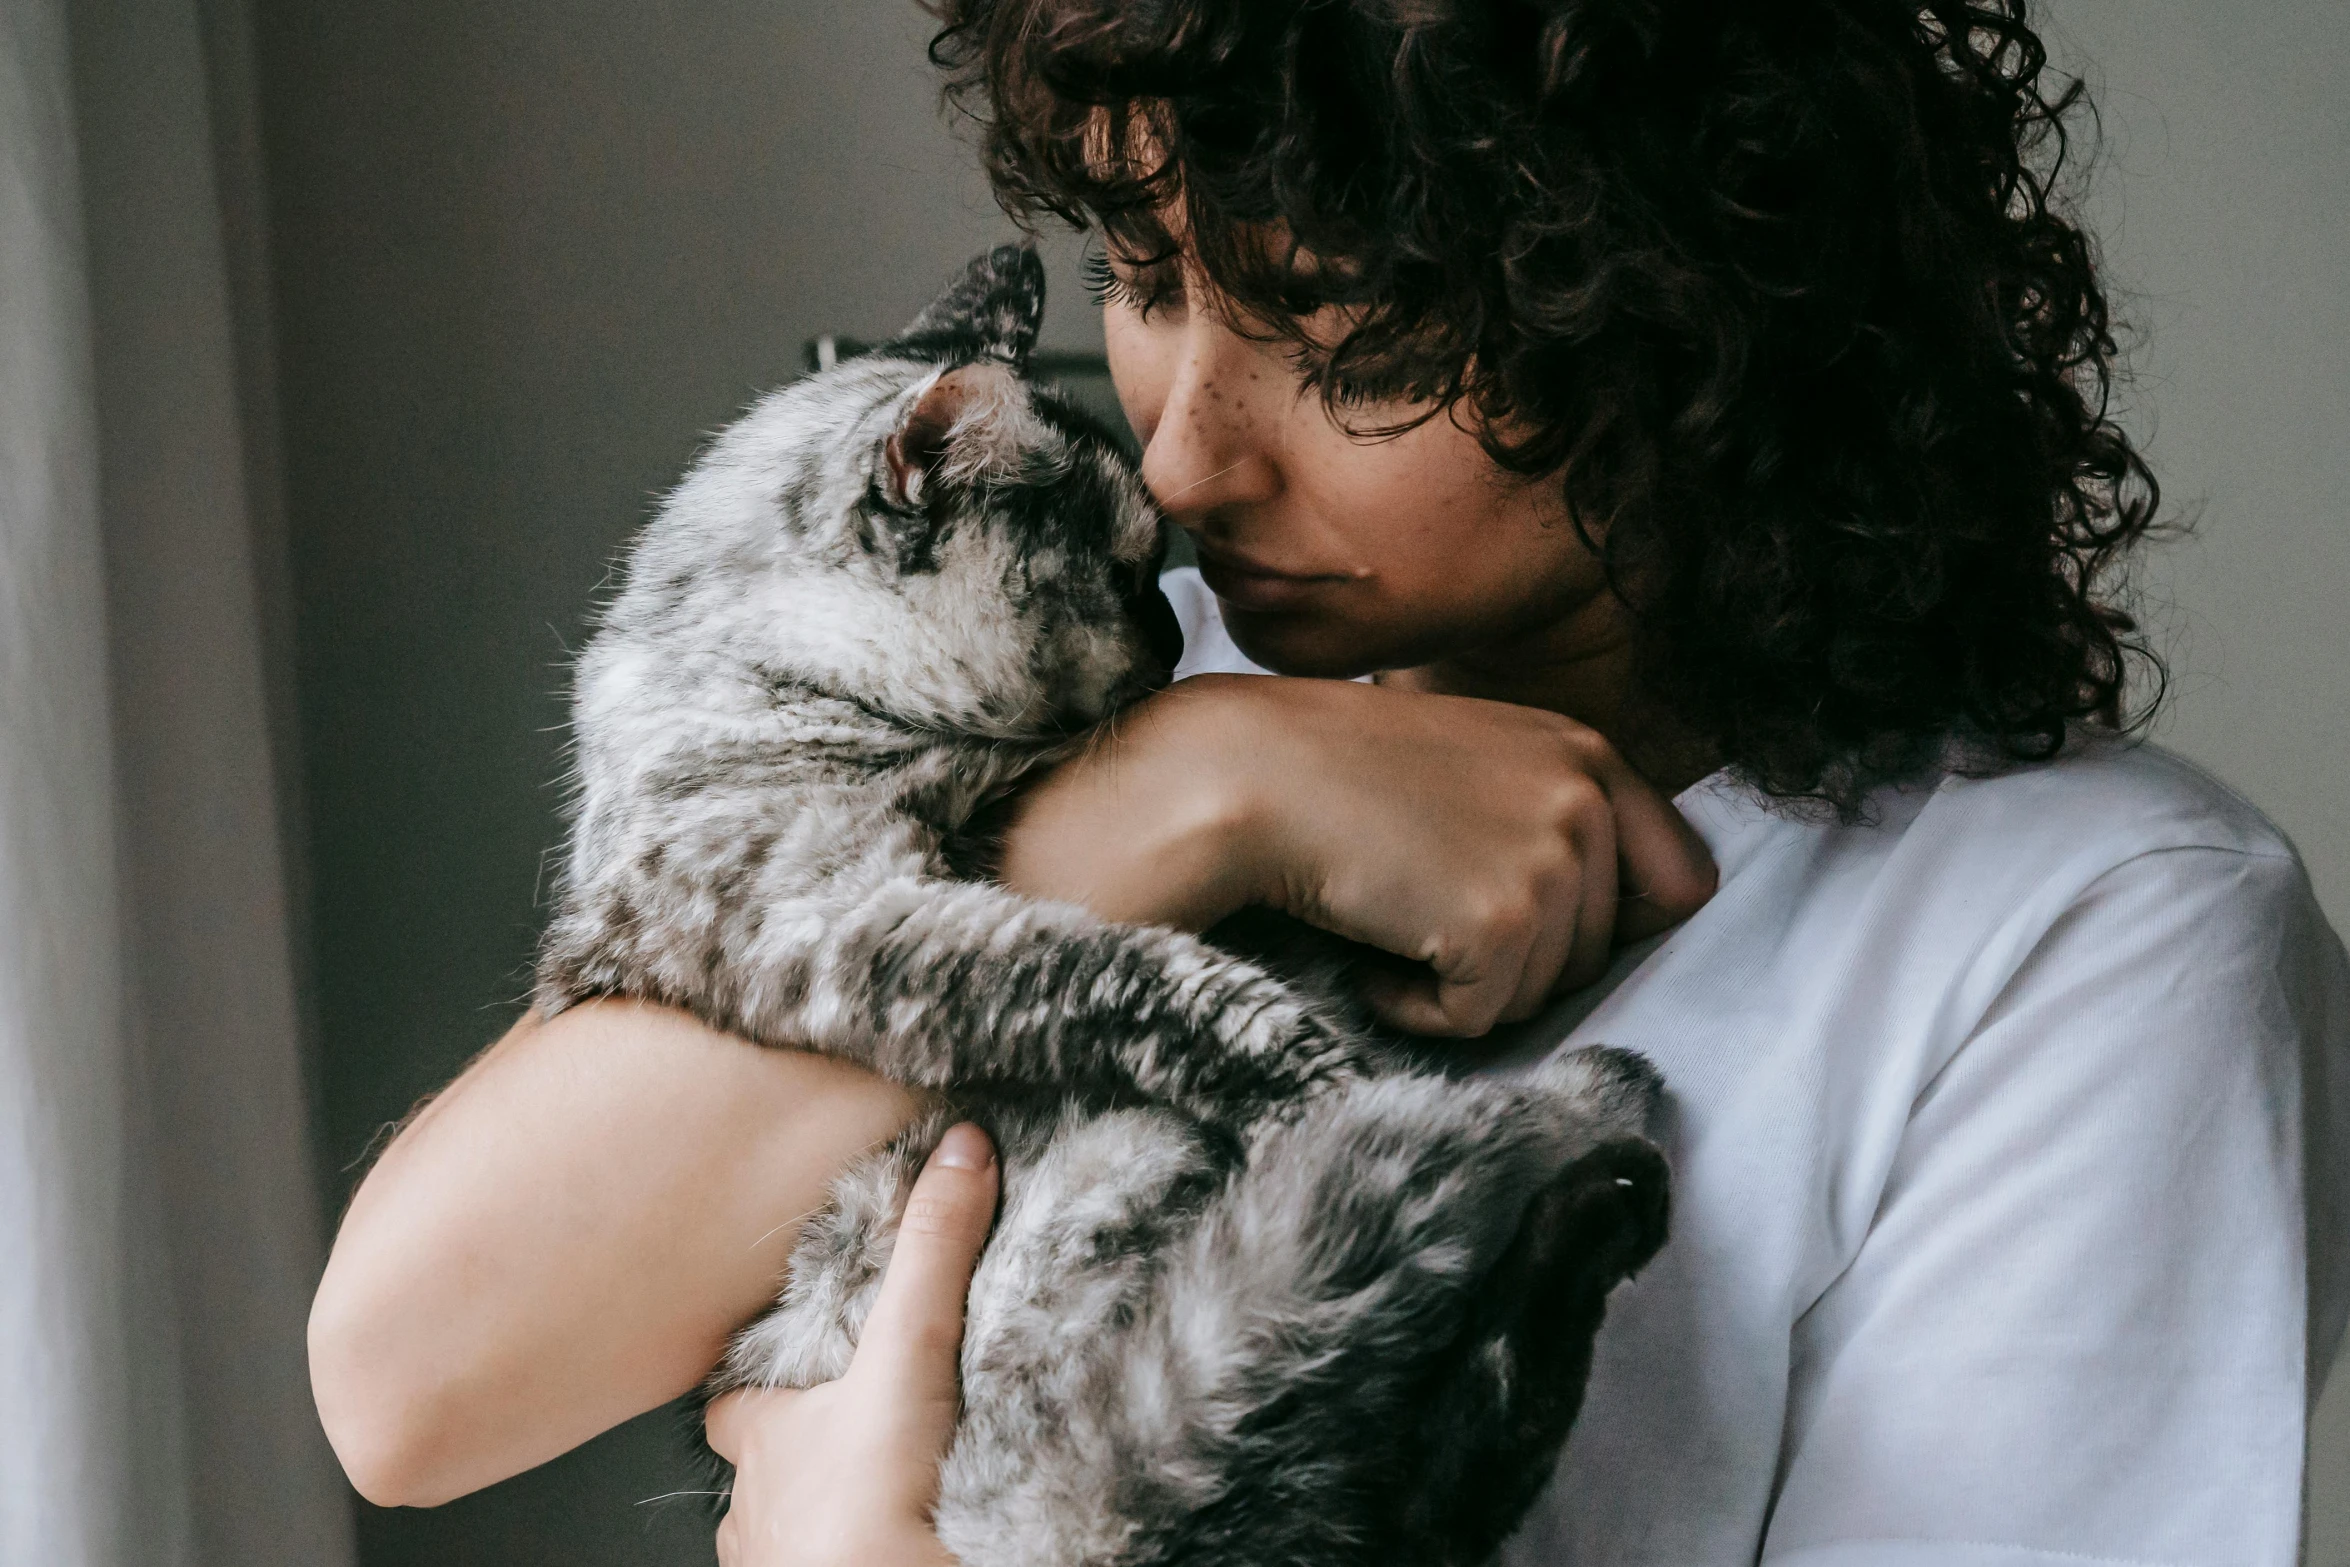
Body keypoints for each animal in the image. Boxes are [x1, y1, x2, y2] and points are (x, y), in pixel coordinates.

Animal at [533, 251, 1673, 1559]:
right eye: (1122, 570)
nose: (1180, 637)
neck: (765, 668)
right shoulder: (861, 923)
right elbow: (1137, 976)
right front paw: (1312, 1055)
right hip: (1135, 1207)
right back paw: (1577, 1135)